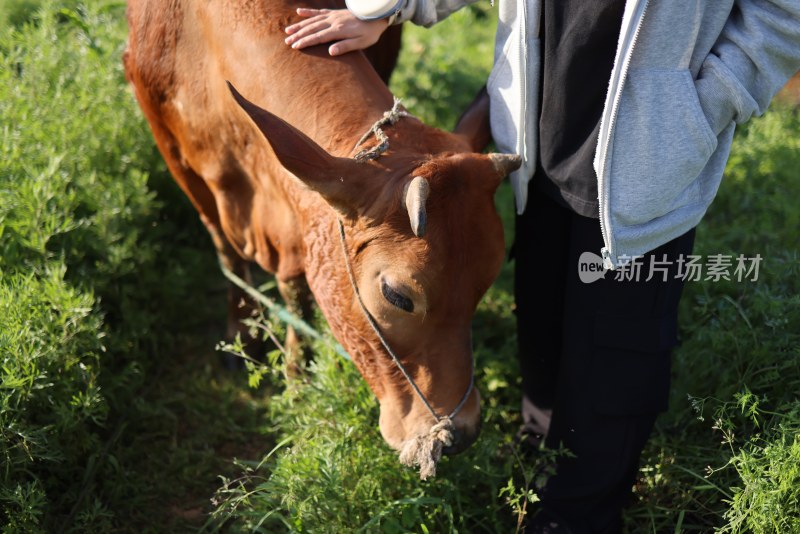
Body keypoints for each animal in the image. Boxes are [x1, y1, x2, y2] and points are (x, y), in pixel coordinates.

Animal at [124, 0, 520, 478]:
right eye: (397, 296)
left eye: (484, 287)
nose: (461, 432)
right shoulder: (178, 156)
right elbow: (230, 255)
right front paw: (244, 338)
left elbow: (295, 292)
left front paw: (295, 374)